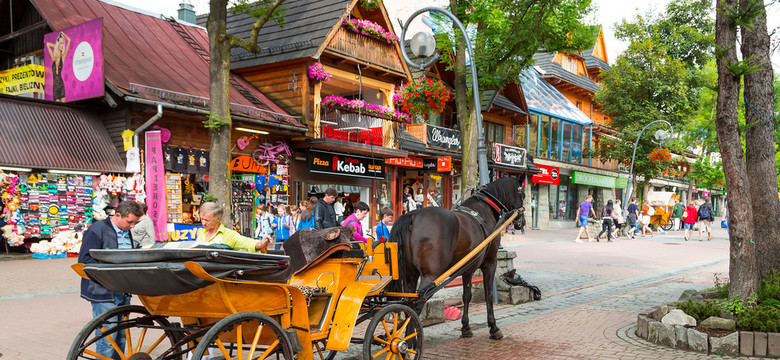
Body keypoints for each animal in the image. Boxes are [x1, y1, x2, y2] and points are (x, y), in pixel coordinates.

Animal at [388, 178, 524, 340]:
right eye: (523, 194)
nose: (521, 222)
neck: (484, 210)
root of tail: (413, 216)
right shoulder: (490, 264)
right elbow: (489, 294)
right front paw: (493, 327)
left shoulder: (468, 269)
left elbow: (467, 296)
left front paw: (465, 327)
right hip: (430, 277)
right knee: (415, 306)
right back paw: (408, 341)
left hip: (410, 276)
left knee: (408, 303)